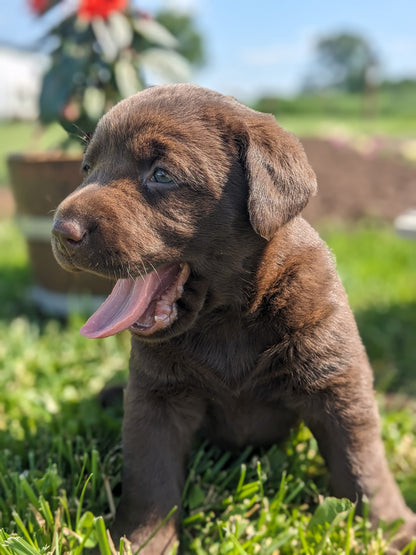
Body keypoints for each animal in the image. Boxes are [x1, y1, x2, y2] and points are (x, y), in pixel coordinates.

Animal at [52, 84, 416, 552]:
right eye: (87, 168)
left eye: (162, 175)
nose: (61, 231)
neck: (228, 318)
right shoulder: (156, 398)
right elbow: (150, 478)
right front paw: (142, 540)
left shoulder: (334, 379)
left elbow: (362, 461)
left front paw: (391, 528)